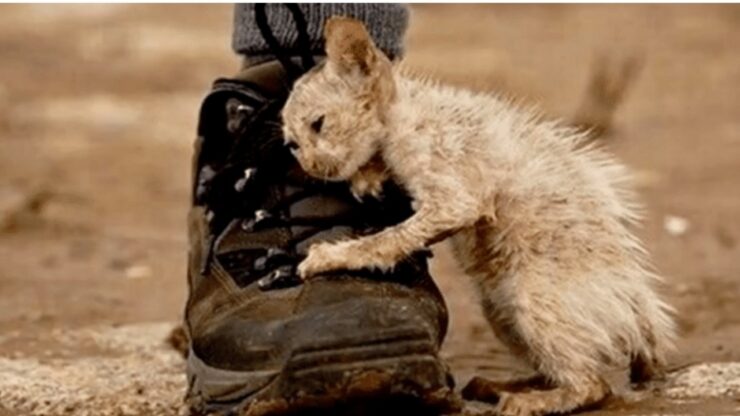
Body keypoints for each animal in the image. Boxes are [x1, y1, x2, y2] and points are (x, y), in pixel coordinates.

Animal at [280, 17, 672, 416]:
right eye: (292, 145)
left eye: (318, 124)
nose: (311, 167)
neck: (405, 112)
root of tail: (642, 314)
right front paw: (367, 177)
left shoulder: (455, 198)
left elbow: (388, 239)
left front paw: (329, 256)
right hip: (500, 312)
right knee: (562, 369)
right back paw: (497, 386)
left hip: (532, 299)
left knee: (592, 385)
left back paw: (527, 401)